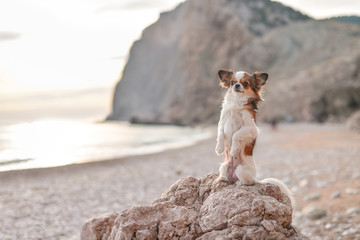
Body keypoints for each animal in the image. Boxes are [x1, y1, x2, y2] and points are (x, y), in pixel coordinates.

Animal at [215, 70, 294, 208]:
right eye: (232, 82)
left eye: (245, 83)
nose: (236, 85)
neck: (237, 103)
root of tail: (256, 178)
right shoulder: (222, 122)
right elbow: (220, 133)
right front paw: (219, 148)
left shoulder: (251, 128)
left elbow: (236, 134)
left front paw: (234, 149)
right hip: (224, 166)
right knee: (226, 176)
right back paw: (221, 179)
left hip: (241, 169)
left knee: (248, 182)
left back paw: (240, 183)